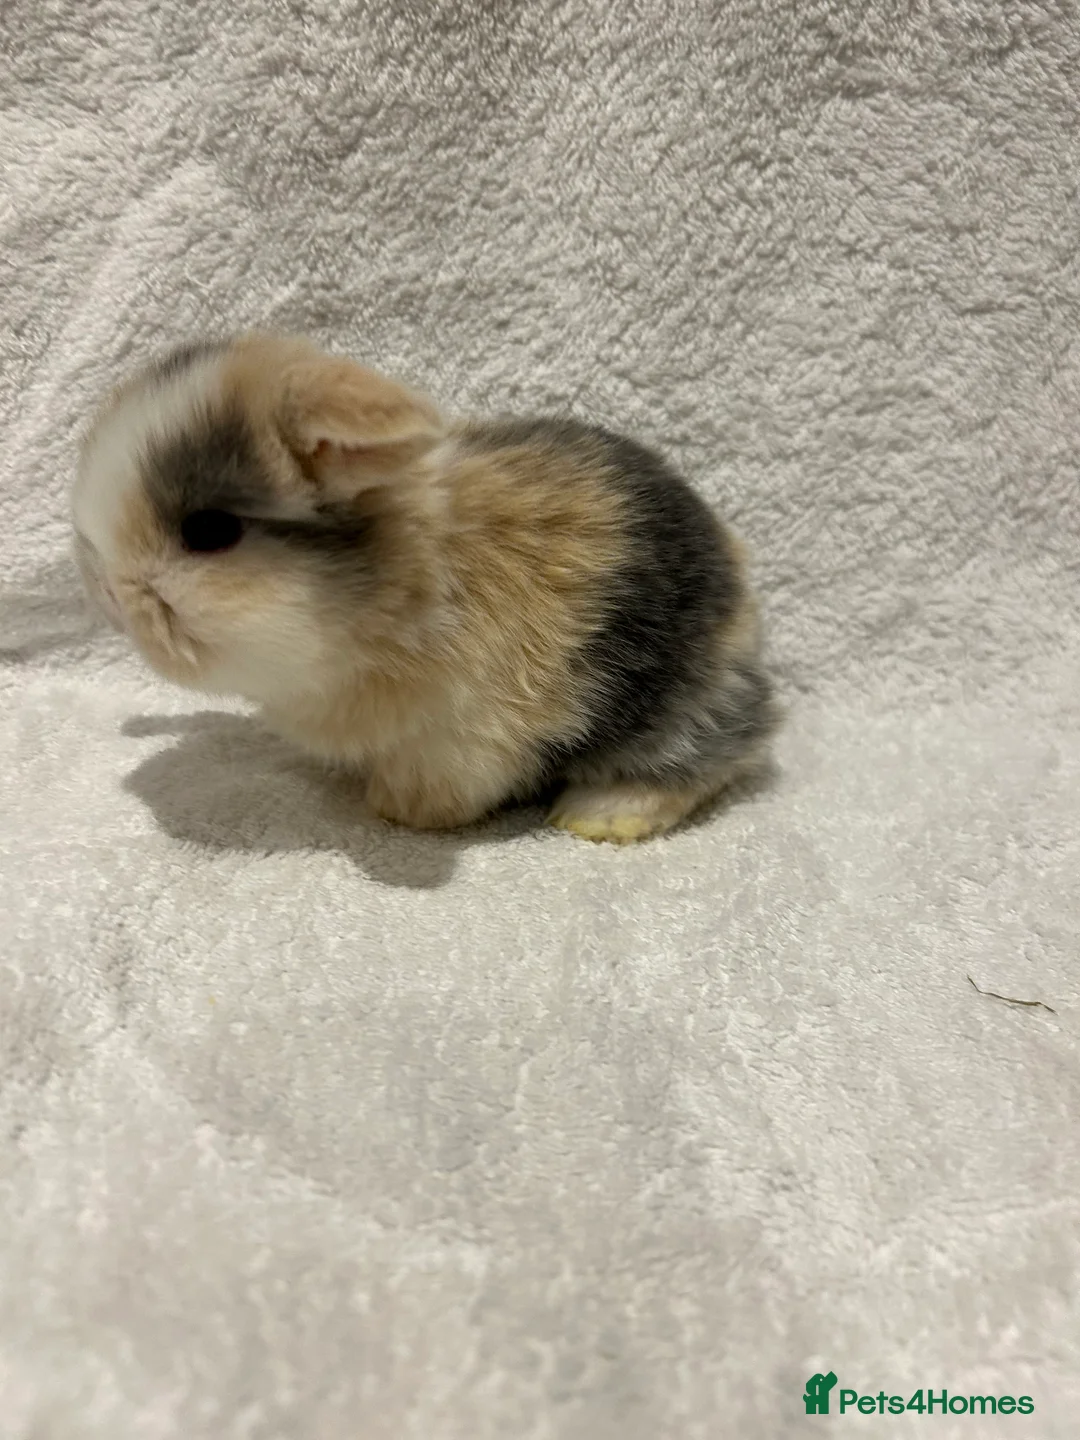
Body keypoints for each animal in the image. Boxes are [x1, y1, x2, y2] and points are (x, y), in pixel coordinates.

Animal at [72, 333, 776, 842]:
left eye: (210, 530)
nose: (107, 595)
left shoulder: (465, 737)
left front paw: (398, 812)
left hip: (683, 707)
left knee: (710, 760)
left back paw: (599, 817)